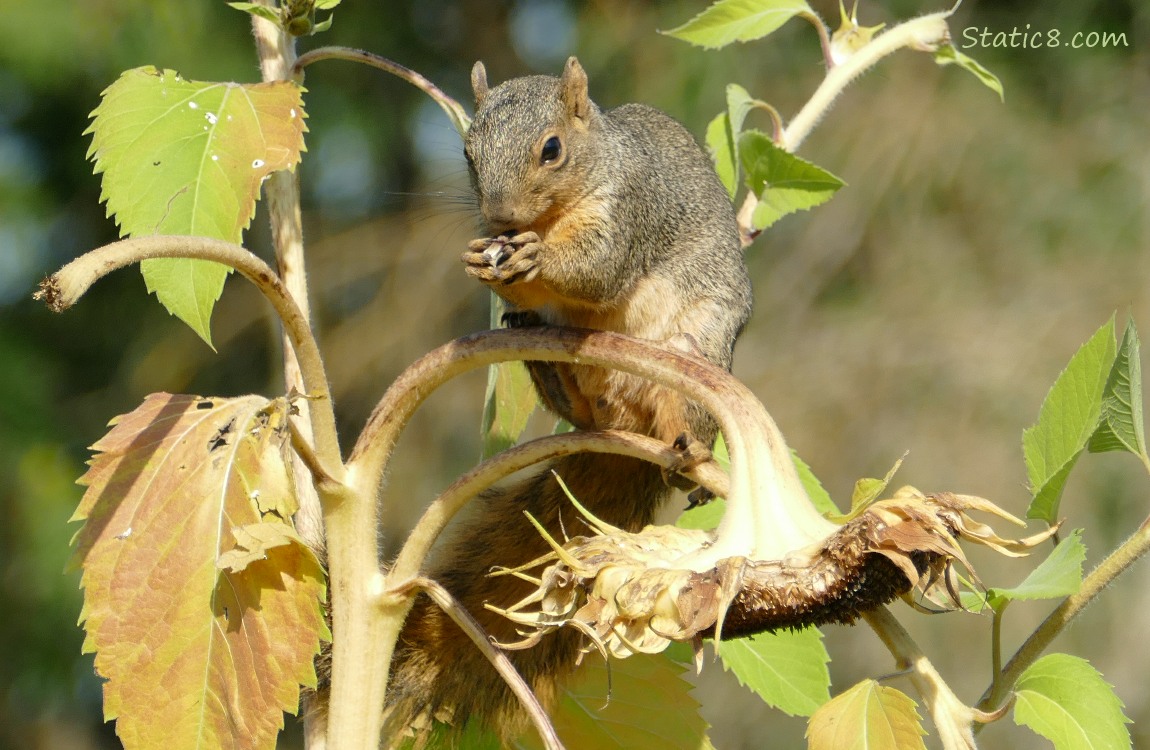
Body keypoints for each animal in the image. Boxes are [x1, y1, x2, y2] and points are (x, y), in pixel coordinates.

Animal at [386, 55, 754, 740]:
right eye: (468, 152)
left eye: (551, 149)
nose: (501, 219)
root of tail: (621, 435)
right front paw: (484, 260)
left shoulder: (630, 210)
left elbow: (597, 268)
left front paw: (536, 257)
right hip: (562, 371)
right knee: (563, 387)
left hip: (693, 359)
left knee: (685, 417)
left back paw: (688, 446)